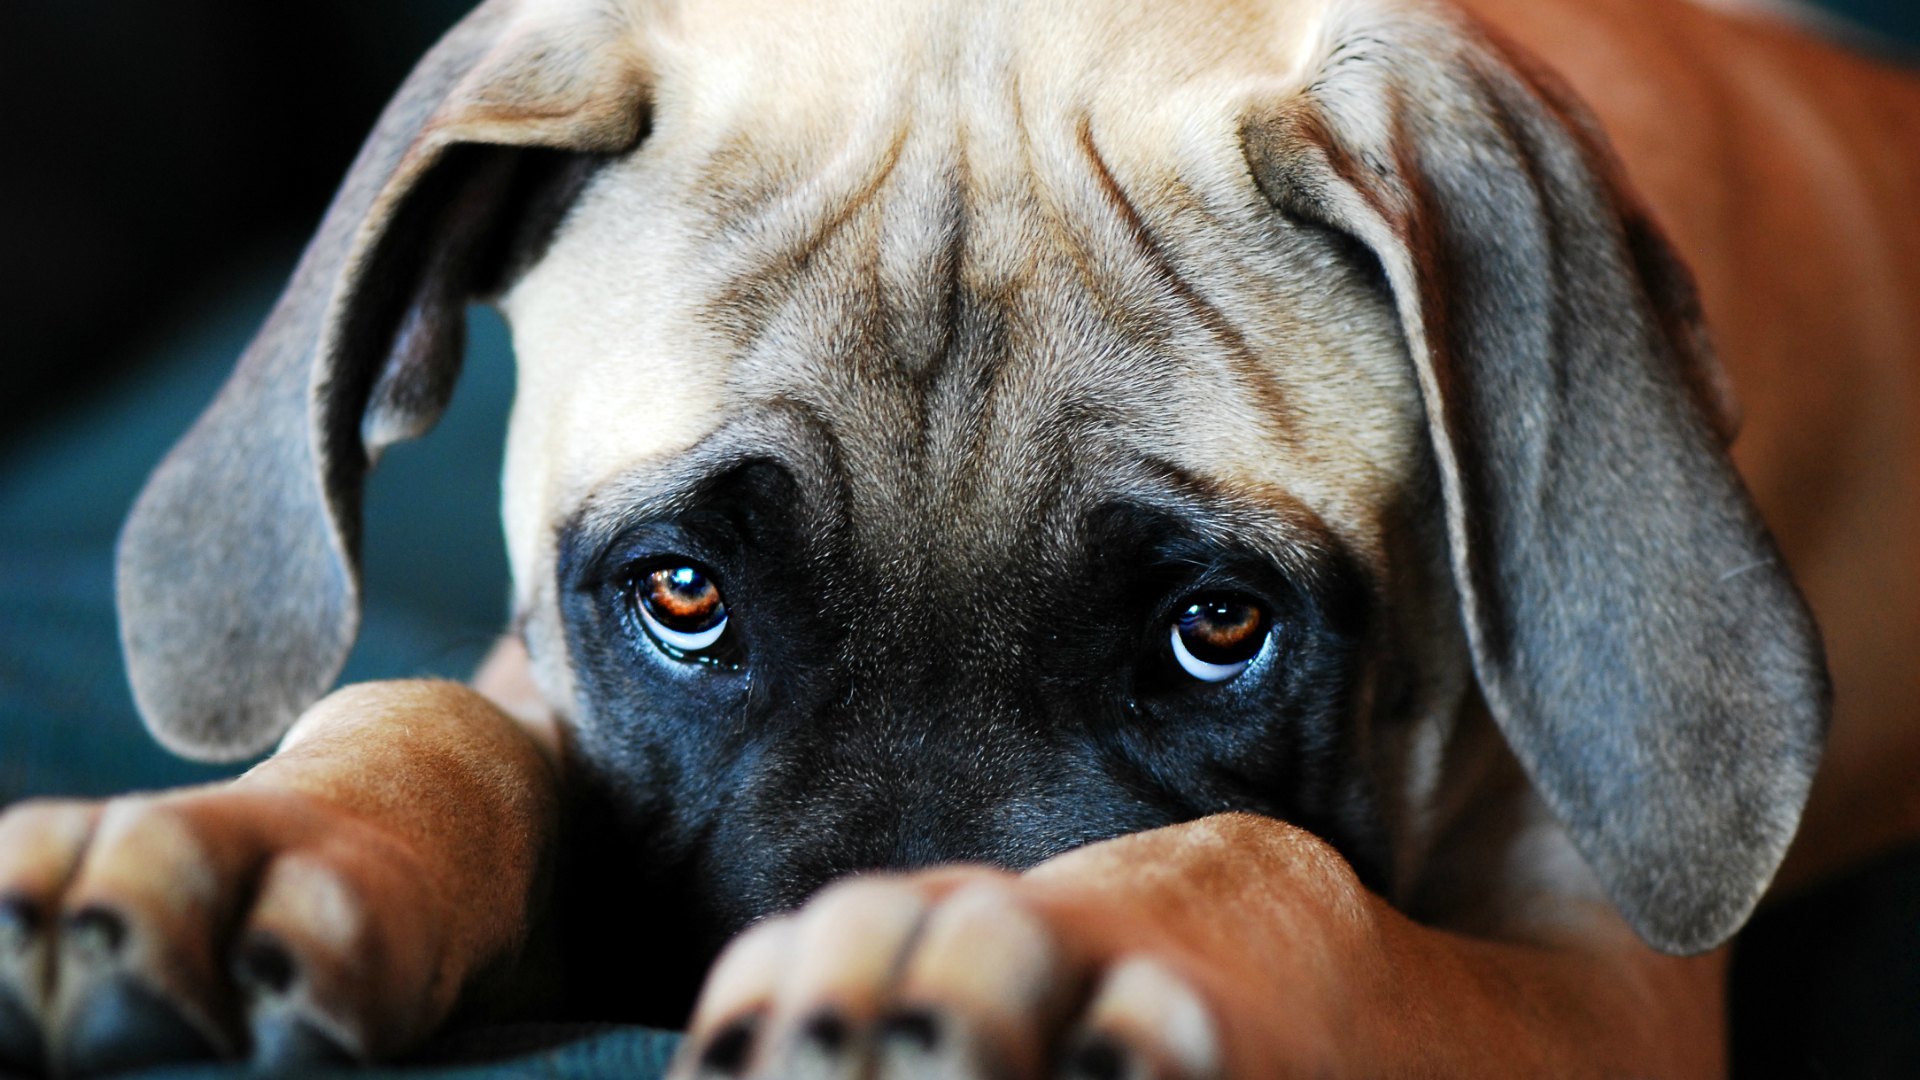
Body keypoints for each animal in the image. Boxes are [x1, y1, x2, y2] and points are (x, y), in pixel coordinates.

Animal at [3, 0, 1920, 1068]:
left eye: (1219, 627)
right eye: (682, 595)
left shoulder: (1604, 989)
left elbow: (1292, 877)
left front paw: (1040, 940)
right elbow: (433, 717)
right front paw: (234, 846)